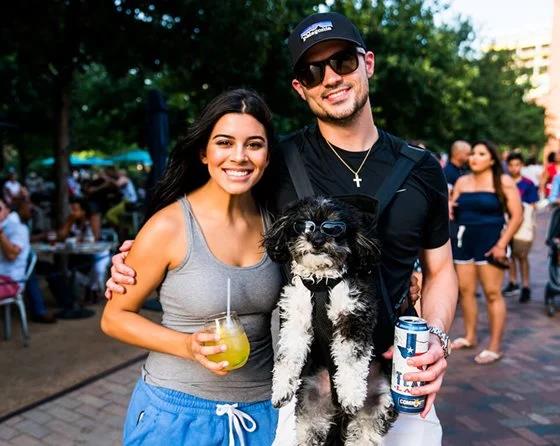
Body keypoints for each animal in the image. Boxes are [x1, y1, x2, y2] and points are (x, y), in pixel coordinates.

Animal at [264, 196, 397, 446]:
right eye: (301, 225)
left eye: (334, 228)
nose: (316, 240)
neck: (321, 283)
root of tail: (335, 410)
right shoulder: (295, 320)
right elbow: (287, 356)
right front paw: (280, 390)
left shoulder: (355, 317)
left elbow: (350, 358)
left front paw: (350, 393)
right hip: (310, 407)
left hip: (376, 409)